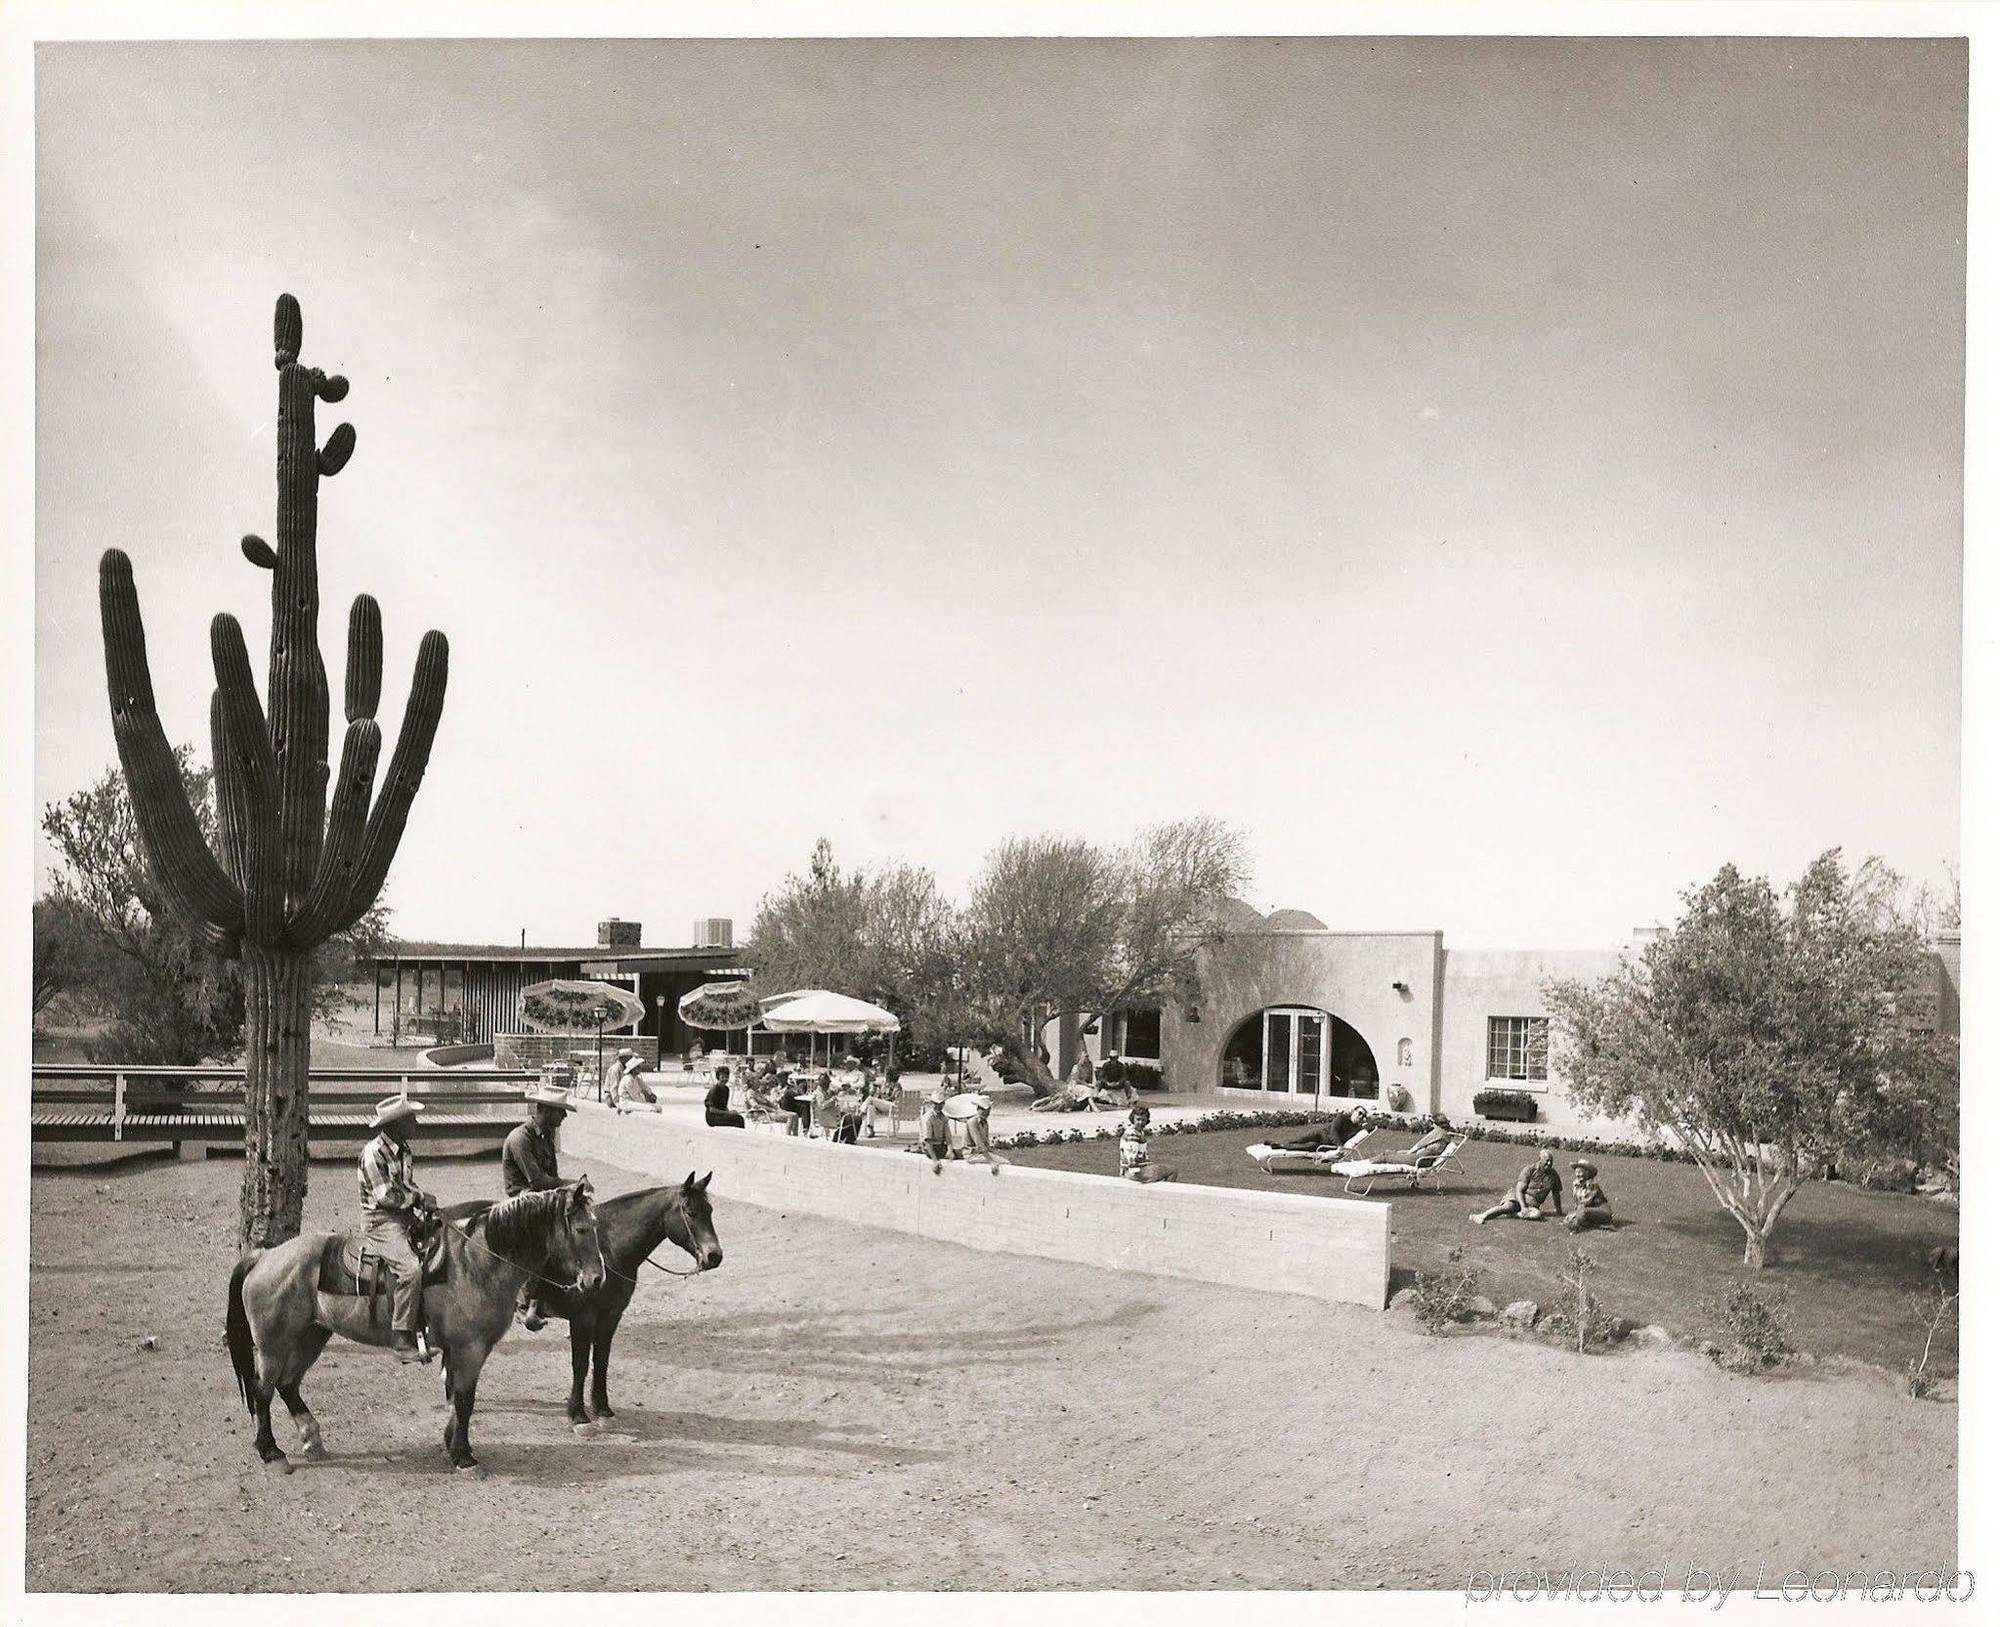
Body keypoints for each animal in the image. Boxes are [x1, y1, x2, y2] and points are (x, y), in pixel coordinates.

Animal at [225, 1175, 600, 1487]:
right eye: (582, 1229)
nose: (597, 1279)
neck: (477, 1262)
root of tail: (264, 1256)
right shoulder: (470, 1349)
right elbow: (465, 1400)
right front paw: (464, 1456)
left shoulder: (460, 1351)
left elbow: (455, 1397)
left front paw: (451, 1444)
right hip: (273, 1345)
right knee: (263, 1391)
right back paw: (271, 1452)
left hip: (312, 1335)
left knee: (288, 1385)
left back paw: (312, 1439)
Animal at [444, 1175, 720, 1431]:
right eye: (691, 1212)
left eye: (710, 1210)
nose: (714, 1256)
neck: (609, 1250)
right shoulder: (582, 1318)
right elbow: (581, 1364)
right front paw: (578, 1415)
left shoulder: (611, 1316)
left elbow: (601, 1361)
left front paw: (603, 1410)